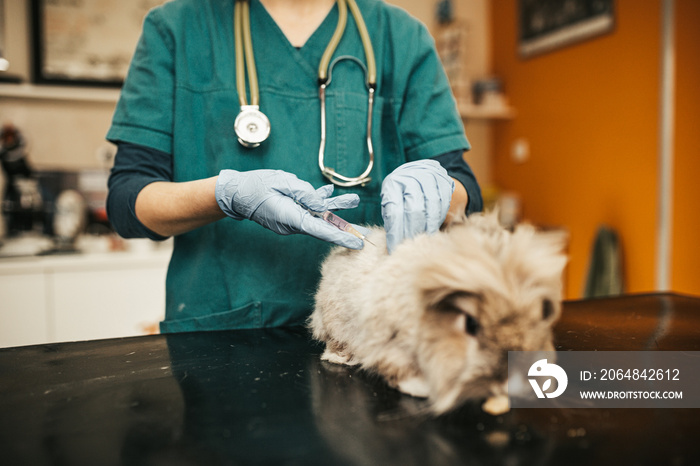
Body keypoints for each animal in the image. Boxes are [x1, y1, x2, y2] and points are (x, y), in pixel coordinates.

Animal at [308, 212, 568, 416]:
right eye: (471, 325)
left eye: (538, 315)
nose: (509, 383)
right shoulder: (388, 344)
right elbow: (400, 370)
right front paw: (420, 388)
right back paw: (339, 358)